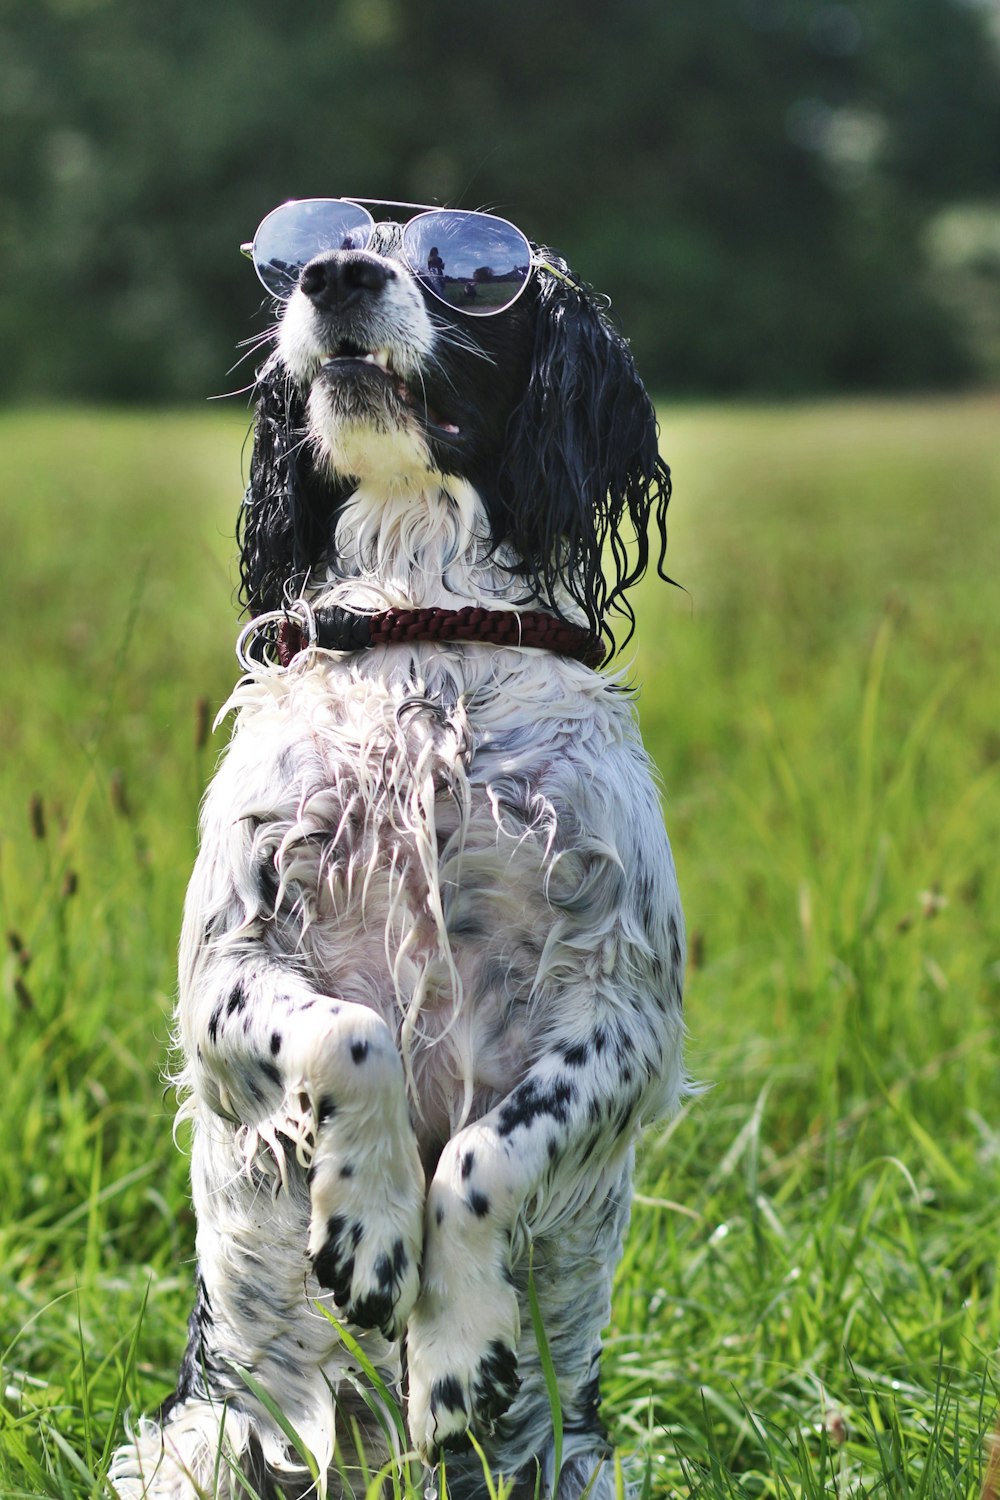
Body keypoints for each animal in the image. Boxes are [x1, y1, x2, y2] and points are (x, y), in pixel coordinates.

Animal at [111, 199, 689, 1500]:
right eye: (315, 242)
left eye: (468, 272)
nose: (332, 277)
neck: (426, 619)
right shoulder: (225, 971)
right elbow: (351, 1033)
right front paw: (368, 1232)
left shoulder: (622, 1010)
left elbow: (485, 1154)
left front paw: (458, 1352)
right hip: (205, 1446)